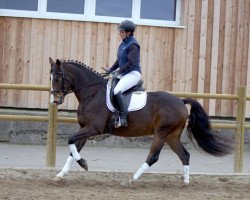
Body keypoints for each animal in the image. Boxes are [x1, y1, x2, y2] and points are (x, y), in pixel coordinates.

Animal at [48, 57, 232, 186]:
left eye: (57, 78)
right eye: (50, 78)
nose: (55, 100)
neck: (92, 93)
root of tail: (180, 101)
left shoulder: (94, 128)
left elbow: (70, 140)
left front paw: (83, 164)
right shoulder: (85, 128)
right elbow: (73, 150)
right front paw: (61, 175)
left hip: (161, 133)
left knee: (153, 157)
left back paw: (131, 180)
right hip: (171, 136)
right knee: (184, 155)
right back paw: (185, 182)